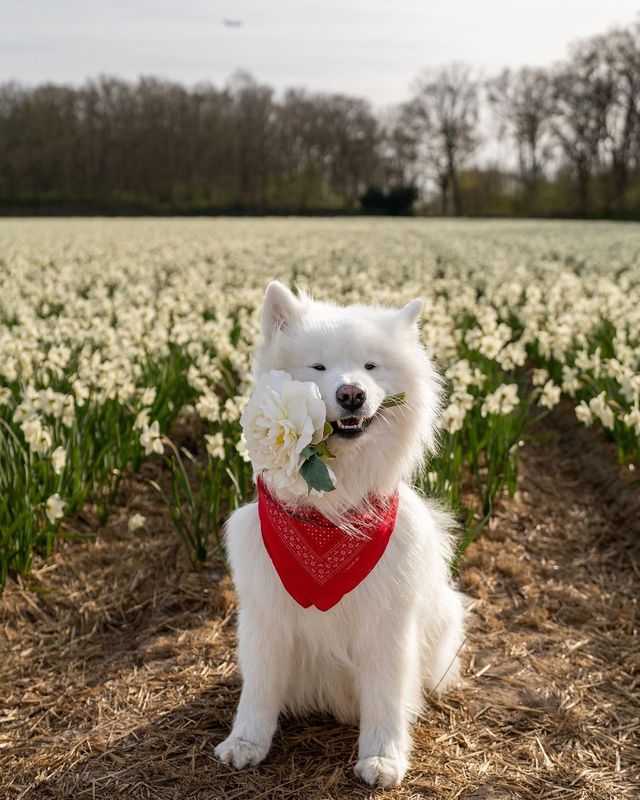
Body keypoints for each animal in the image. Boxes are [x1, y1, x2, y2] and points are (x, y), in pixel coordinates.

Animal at [215, 282, 464, 788]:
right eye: (318, 367)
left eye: (370, 366)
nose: (351, 394)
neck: (332, 515)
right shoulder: (266, 615)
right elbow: (259, 690)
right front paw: (245, 743)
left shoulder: (386, 621)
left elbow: (386, 695)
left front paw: (383, 757)